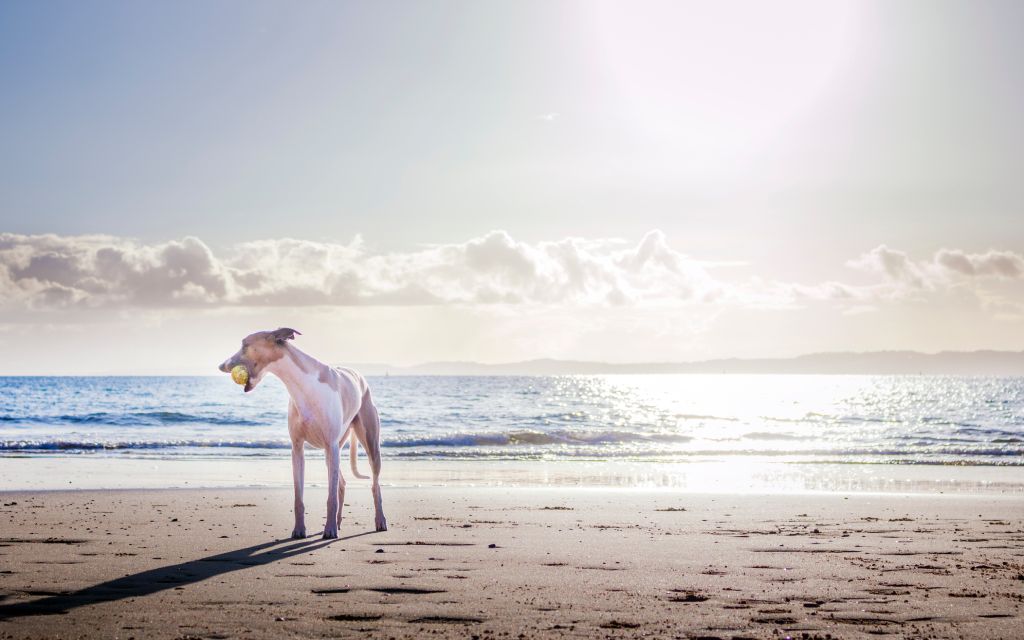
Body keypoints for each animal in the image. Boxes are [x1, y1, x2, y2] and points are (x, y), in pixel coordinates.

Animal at [218, 329, 385, 540]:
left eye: (244, 345)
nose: (220, 366)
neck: (303, 386)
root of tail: (359, 376)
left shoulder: (330, 444)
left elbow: (330, 497)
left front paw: (329, 529)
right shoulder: (297, 448)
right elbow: (299, 496)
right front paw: (299, 529)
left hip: (367, 444)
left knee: (374, 485)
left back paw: (379, 521)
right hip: (333, 451)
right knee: (341, 483)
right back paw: (338, 522)